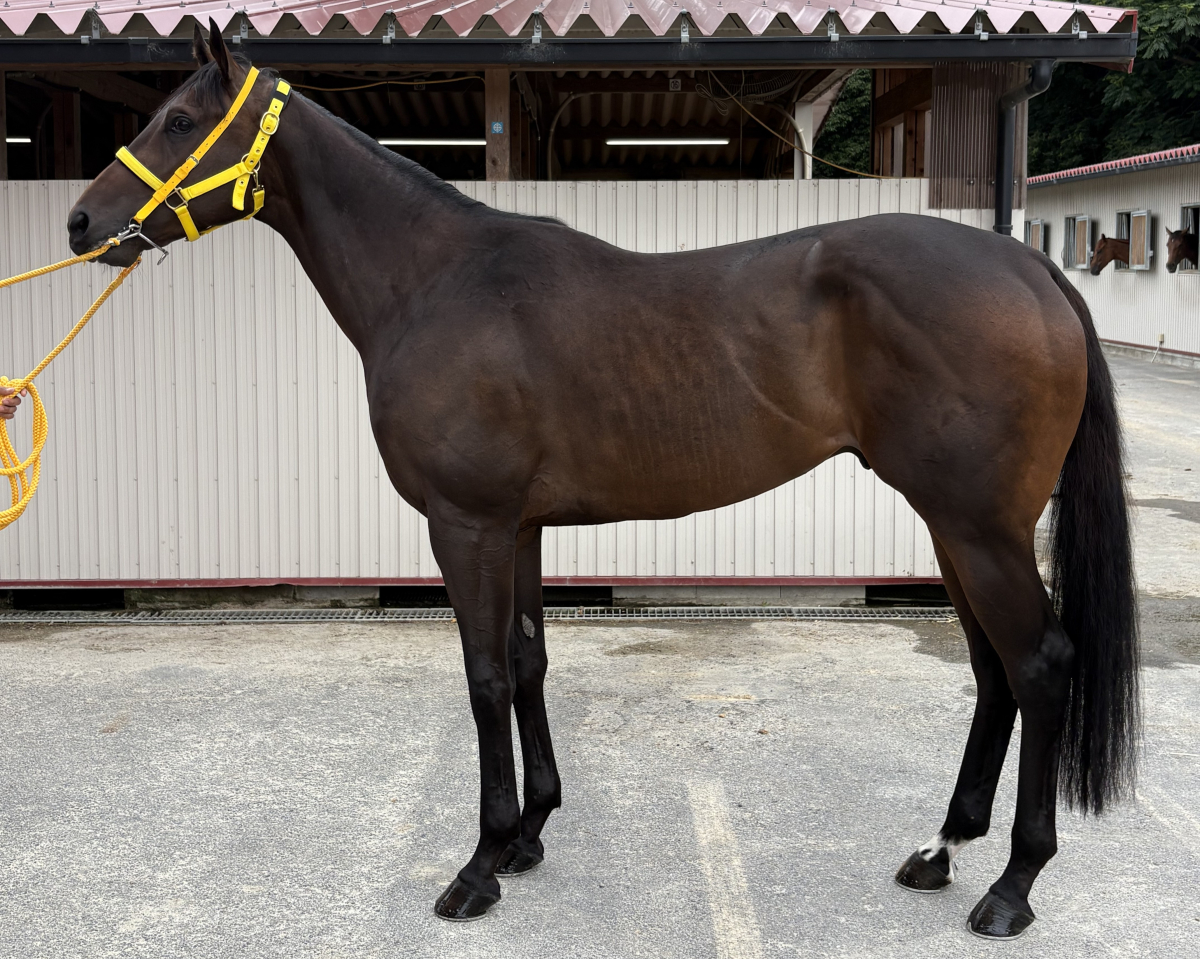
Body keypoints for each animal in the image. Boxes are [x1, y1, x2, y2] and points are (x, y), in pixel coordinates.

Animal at [64, 23, 1138, 940]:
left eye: (178, 120)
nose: (80, 221)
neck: (437, 282)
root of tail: (1030, 268)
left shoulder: (465, 524)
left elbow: (484, 675)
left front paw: (479, 864)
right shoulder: (519, 526)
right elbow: (530, 661)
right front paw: (532, 834)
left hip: (980, 526)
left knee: (1040, 663)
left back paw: (1012, 885)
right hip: (952, 527)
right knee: (995, 670)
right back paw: (941, 847)